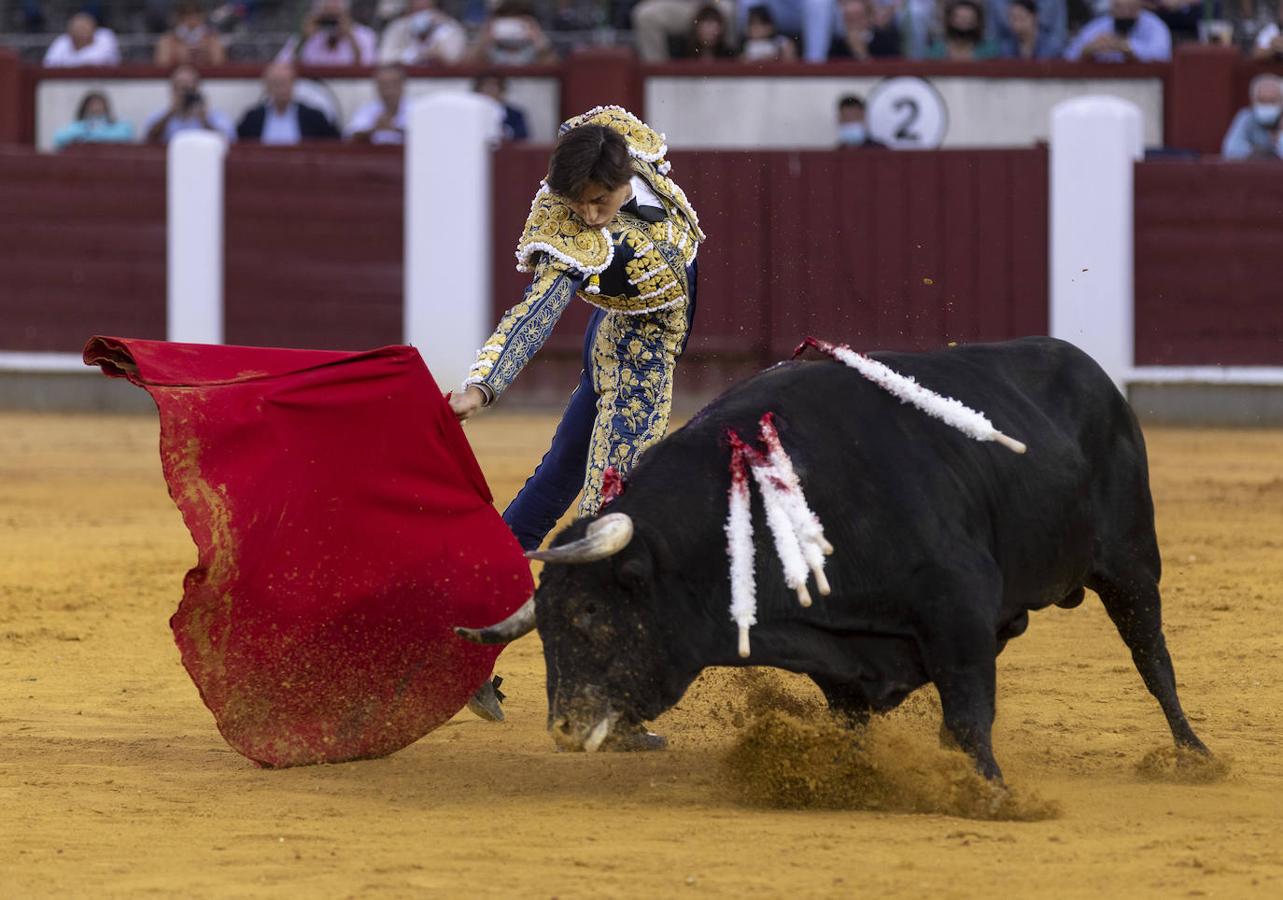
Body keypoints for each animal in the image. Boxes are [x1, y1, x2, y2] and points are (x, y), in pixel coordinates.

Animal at [456, 336, 1206, 780]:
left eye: (589, 611)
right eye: (546, 624)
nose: (563, 728)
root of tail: (1089, 368)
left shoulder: (958, 609)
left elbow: (970, 710)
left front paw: (987, 789)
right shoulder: (841, 659)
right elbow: (856, 720)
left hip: (1131, 562)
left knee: (1153, 657)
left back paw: (1194, 755)